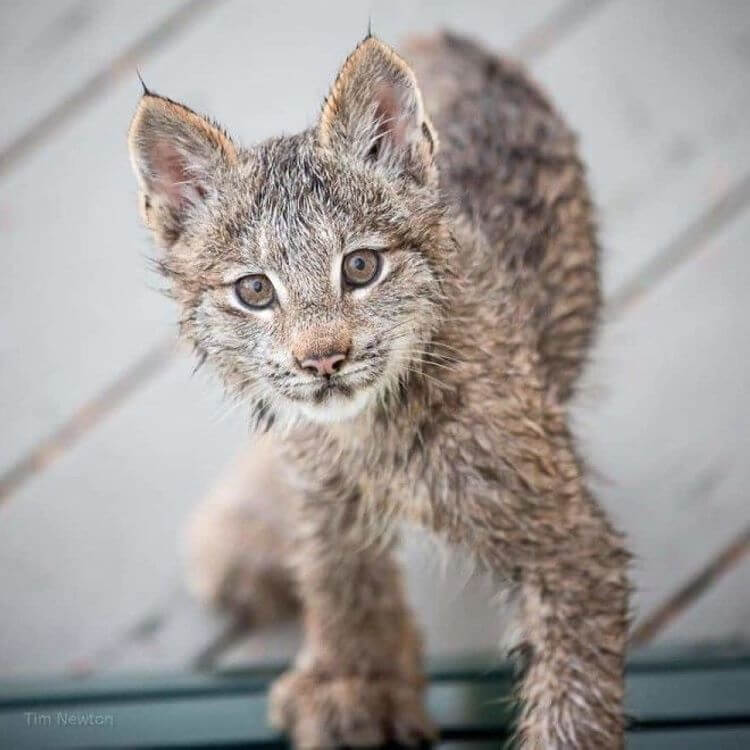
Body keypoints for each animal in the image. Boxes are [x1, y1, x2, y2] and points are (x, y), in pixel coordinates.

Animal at [131, 30, 636, 750]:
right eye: (254, 290)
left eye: (361, 267)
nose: (322, 360)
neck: (369, 429)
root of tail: (451, 35)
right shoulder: (324, 486)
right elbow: (339, 576)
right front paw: (356, 683)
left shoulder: (570, 544)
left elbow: (574, 700)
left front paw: (360, 684)